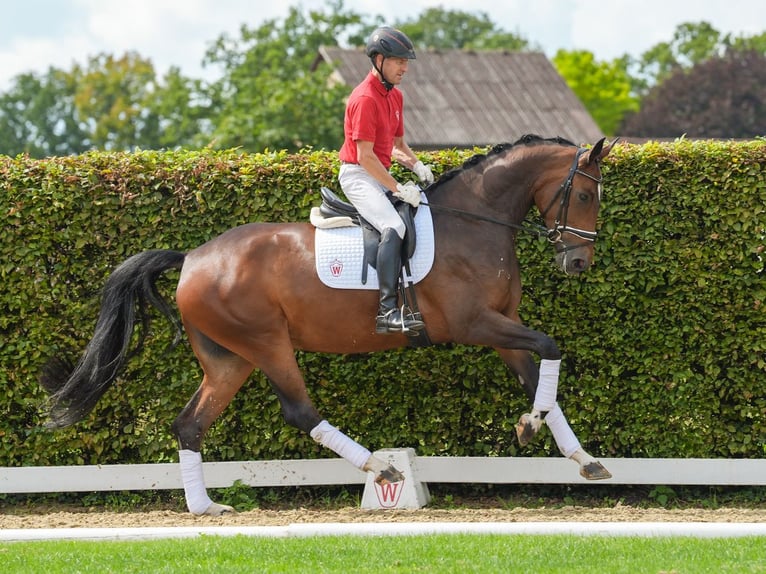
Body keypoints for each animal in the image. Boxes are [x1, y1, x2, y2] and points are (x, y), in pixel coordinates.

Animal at [40, 134, 616, 516]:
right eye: (586, 196)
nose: (578, 263)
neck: (475, 221)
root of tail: (192, 259)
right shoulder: (475, 323)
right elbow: (551, 345)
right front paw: (531, 425)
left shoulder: (503, 325)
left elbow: (541, 375)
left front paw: (579, 455)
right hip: (267, 343)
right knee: (299, 411)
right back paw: (381, 469)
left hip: (229, 359)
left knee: (190, 425)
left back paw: (206, 508)